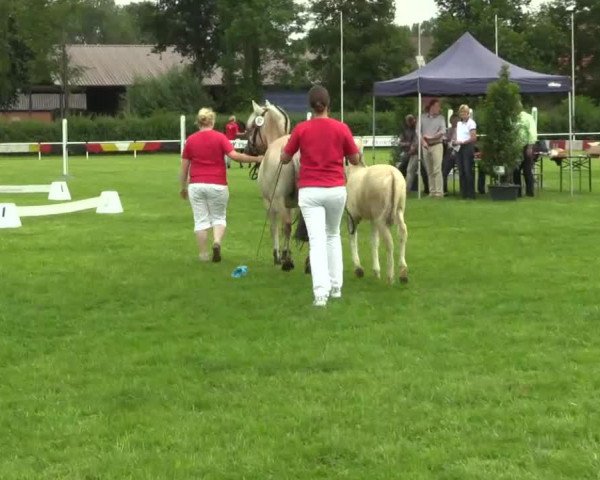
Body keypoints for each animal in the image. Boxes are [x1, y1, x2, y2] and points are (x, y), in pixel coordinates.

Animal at [244, 100, 300, 270]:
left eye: (251, 127)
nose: (246, 150)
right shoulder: (291, 205)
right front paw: (287, 253)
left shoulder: (269, 202)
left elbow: (274, 227)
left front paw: (278, 255)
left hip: (278, 199)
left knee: (287, 225)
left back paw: (286, 262)